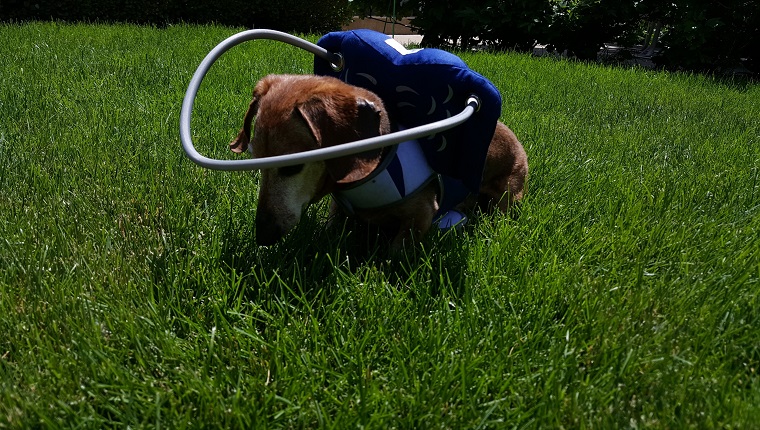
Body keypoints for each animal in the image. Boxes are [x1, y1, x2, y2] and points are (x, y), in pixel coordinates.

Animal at [230, 74, 528, 249]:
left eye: (292, 166)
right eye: (256, 161)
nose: (263, 236)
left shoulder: (420, 216)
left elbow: (395, 255)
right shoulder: (339, 210)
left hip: (507, 193)